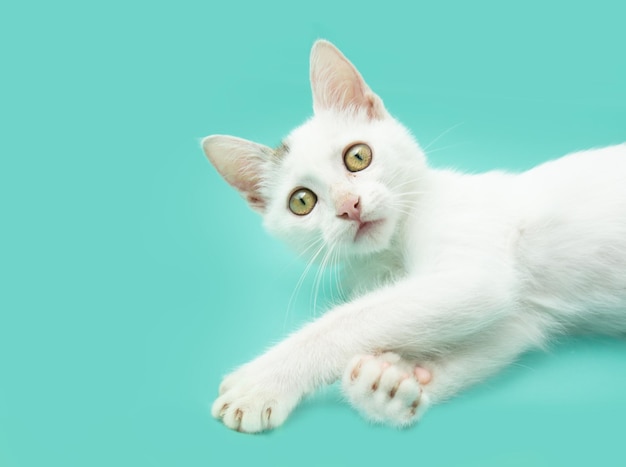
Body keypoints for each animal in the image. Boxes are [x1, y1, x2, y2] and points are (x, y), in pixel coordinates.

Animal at [201, 40, 624, 436]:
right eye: (302, 201)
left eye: (358, 156)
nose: (349, 206)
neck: (388, 253)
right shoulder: (523, 318)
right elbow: (506, 334)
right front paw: (390, 384)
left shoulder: (472, 268)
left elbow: (348, 321)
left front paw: (262, 382)